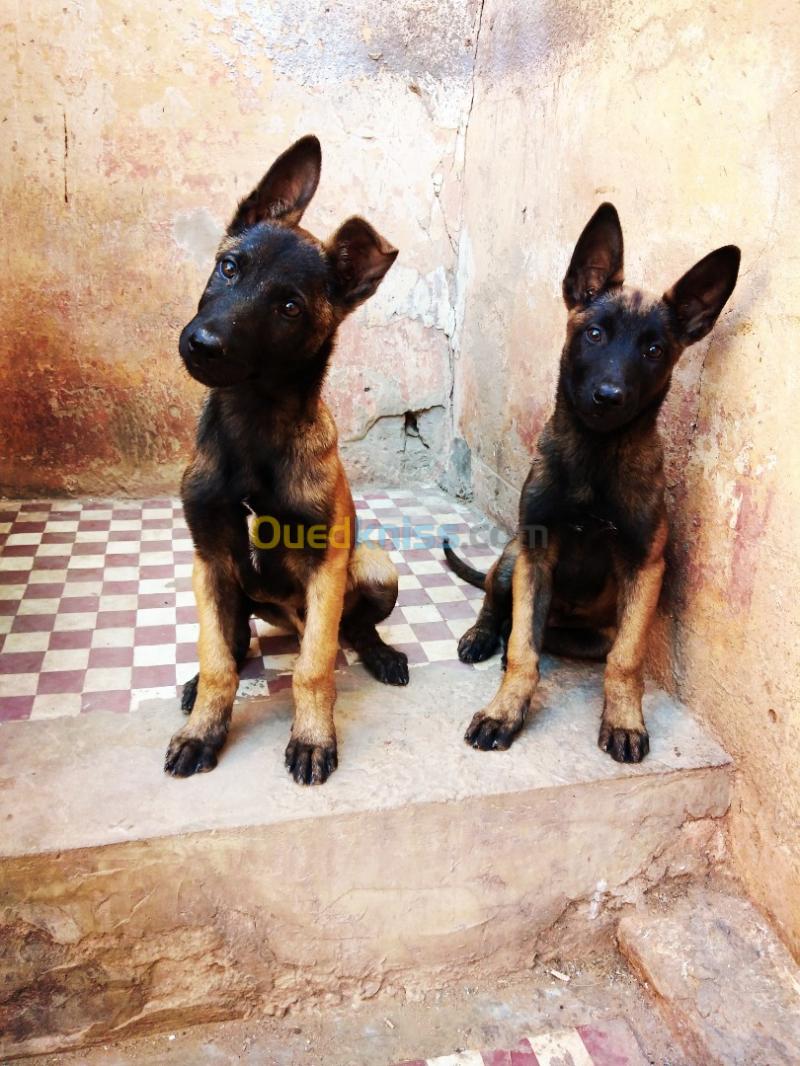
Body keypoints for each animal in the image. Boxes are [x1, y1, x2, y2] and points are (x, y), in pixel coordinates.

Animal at [165, 135, 409, 784]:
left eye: (290, 307)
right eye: (229, 268)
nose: (203, 345)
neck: (253, 428)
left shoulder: (326, 567)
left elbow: (314, 668)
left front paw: (313, 737)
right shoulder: (208, 558)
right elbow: (220, 660)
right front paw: (203, 728)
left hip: (373, 565)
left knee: (354, 625)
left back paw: (381, 654)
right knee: (235, 641)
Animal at [445, 203, 738, 763]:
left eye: (654, 349)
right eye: (596, 334)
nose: (609, 396)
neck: (596, 457)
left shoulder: (645, 566)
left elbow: (624, 661)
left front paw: (624, 721)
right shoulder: (537, 553)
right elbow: (524, 650)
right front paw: (503, 711)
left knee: (553, 637)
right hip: (513, 559)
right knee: (500, 606)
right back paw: (483, 636)